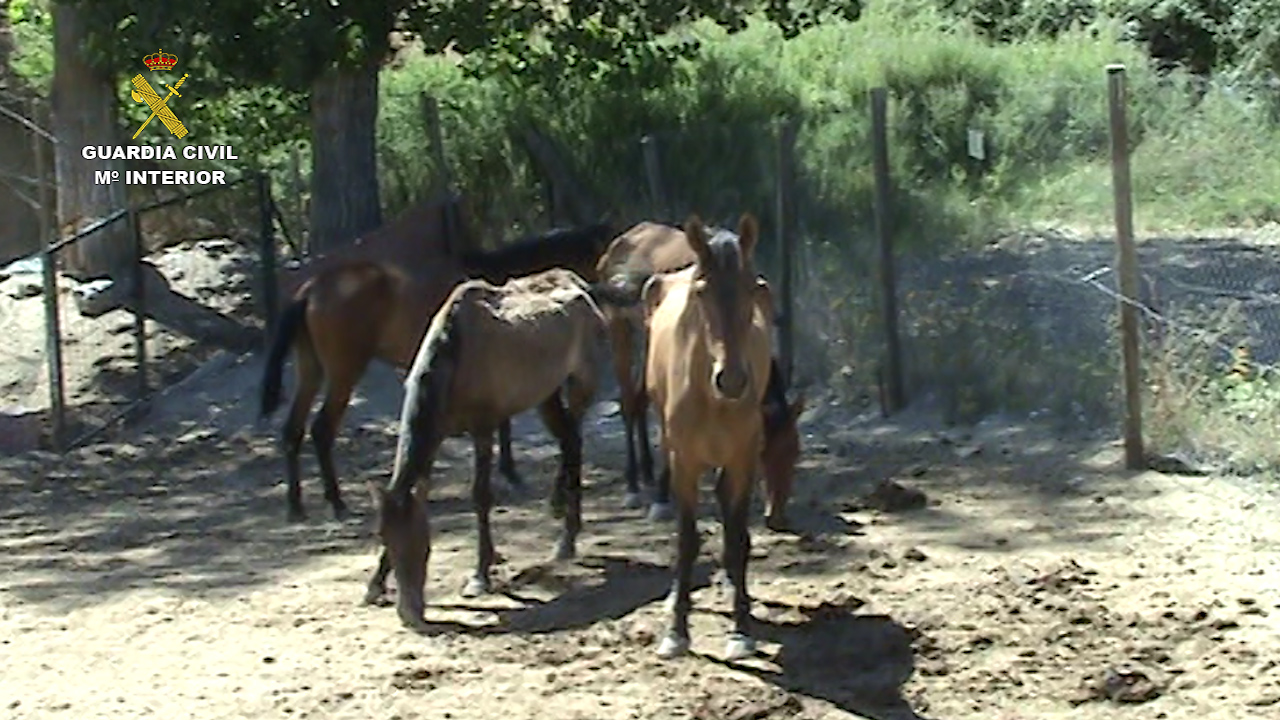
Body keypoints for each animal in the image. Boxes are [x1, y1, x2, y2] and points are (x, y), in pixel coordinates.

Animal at [257, 221, 616, 517]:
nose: (605, 303)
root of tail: (312, 289)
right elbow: (504, 424)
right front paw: (511, 472)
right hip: (344, 373)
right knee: (321, 430)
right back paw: (336, 501)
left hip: (311, 371)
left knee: (293, 430)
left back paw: (296, 505)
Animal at [593, 219, 803, 527]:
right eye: (765, 450)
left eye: (795, 452)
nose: (777, 516)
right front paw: (662, 499)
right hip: (620, 330)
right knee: (629, 404)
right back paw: (634, 486)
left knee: (640, 400)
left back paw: (646, 473)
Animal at [645, 211, 773, 655]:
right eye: (701, 293)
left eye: (752, 288)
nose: (732, 380)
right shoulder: (684, 461)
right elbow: (686, 537)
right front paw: (676, 630)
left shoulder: (741, 458)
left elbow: (736, 535)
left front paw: (741, 630)